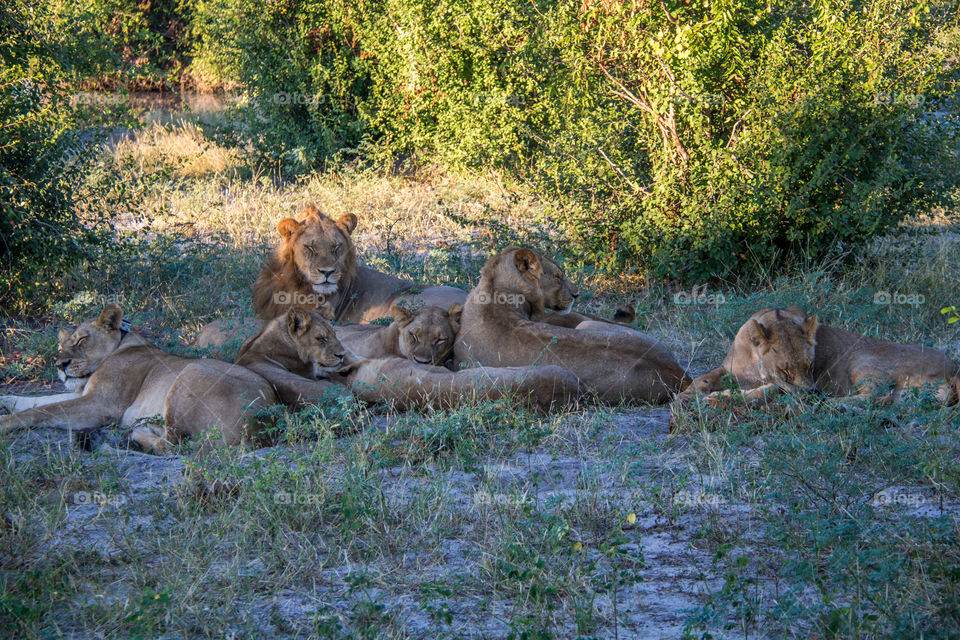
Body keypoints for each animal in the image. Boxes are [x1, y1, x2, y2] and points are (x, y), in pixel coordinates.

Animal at [0, 305, 284, 453]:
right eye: (60, 346)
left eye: (82, 340)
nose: (60, 365)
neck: (120, 345)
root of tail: (263, 427)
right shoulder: (85, 395)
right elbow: (39, 401)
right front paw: (5, 400)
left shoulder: (101, 405)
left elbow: (42, 411)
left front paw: (4, 423)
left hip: (189, 373)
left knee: (176, 445)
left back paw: (130, 436)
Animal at [453, 247, 690, 403]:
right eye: (558, 277)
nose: (577, 294)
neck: (495, 291)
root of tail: (679, 374)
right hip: (589, 325)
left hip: (585, 326)